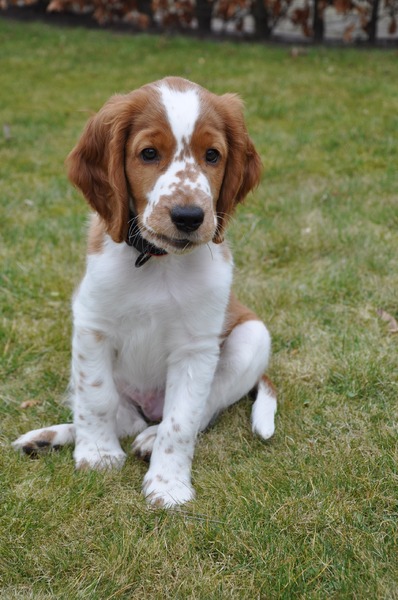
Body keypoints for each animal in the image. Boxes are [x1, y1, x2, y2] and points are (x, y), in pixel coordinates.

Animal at [14, 75, 276, 506]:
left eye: (213, 155)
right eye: (149, 153)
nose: (189, 216)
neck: (157, 262)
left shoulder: (195, 349)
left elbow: (182, 420)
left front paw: (168, 485)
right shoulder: (92, 325)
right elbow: (97, 399)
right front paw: (97, 454)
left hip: (253, 336)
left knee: (200, 410)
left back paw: (149, 438)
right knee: (119, 416)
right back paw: (50, 437)